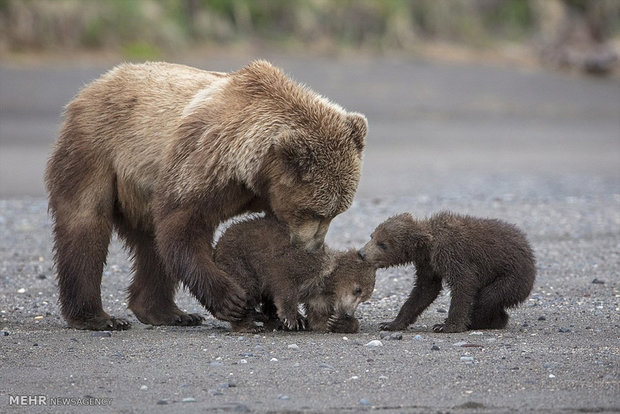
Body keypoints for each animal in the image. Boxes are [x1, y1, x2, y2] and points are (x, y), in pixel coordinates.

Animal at [213, 215, 378, 332]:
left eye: (365, 298)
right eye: (358, 290)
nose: (349, 313)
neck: (324, 281)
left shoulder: (319, 296)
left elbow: (318, 319)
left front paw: (338, 322)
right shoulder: (296, 262)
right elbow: (282, 281)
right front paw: (292, 318)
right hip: (238, 259)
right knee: (245, 290)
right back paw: (248, 326)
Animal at [358, 212, 536, 334]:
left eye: (383, 244)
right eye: (372, 236)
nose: (361, 253)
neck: (429, 245)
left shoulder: (451, 252)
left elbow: (464, 282)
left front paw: (447, 326)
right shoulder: (427, 264)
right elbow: (424, 291)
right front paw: (390, 323)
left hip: (513, 276)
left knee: (488, 297)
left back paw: (482, 321)